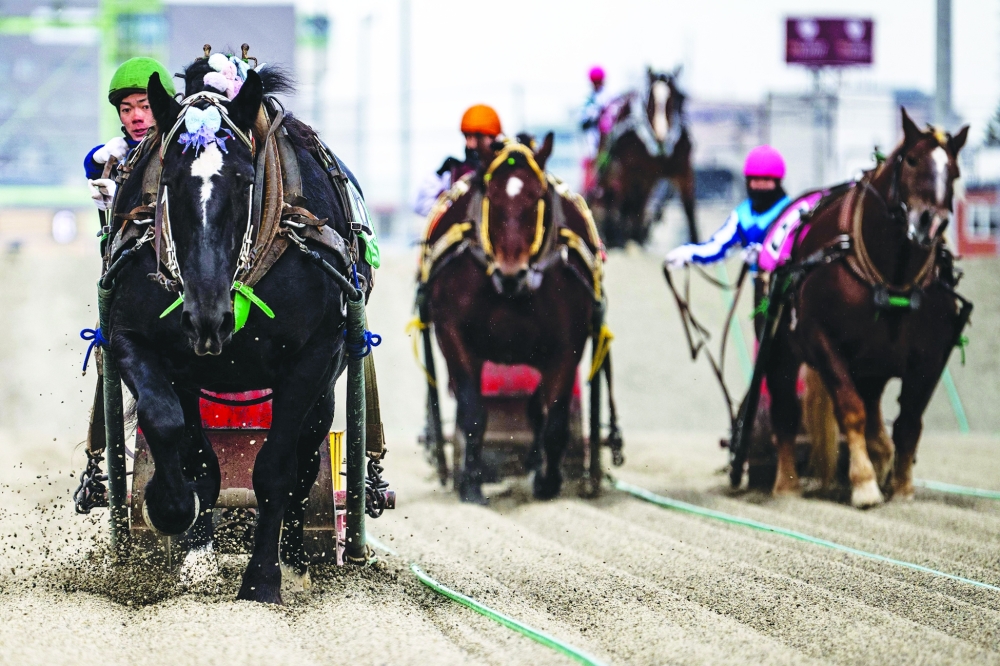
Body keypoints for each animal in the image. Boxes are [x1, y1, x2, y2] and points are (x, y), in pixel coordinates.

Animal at [106, 59, 372, 603]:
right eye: (169, 179)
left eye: (245, 179)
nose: (208, 317)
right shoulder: (137, 340)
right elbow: (174, 432)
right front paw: (178, 521)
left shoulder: (314, 355)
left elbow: (276, 469)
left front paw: (264, 578)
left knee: (307, 455)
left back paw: (294, 559)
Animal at [421, 135, 606, 503]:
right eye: (492, 197)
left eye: (537, 198)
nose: (512, 272)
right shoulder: (452, 332)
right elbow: (472, 412)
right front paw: (471, 483)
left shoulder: (568, 342)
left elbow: (555, 419)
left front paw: (548, 481)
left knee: (538, 409)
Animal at [589, 67, 698, 248]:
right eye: (650, 100)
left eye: (678, 97)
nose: (661, 135)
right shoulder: (628, 168)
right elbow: (625, 203)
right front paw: (621, 239)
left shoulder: (683, 169)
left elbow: (689, 208)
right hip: (609, 166)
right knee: (610, 195)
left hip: (646, 178)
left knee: (639, 202)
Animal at [762, 108, 969, 507]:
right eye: (912, 159)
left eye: (953, 171)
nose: (930, 222)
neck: (892, 277)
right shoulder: (822, 339)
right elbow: (851, 409)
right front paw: (865, 485)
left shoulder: (931, 353)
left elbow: (909, 422)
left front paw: (901, 487)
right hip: (782, 346)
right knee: (785, 407)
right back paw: (786, 485)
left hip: (873, 360)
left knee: (874, 406)